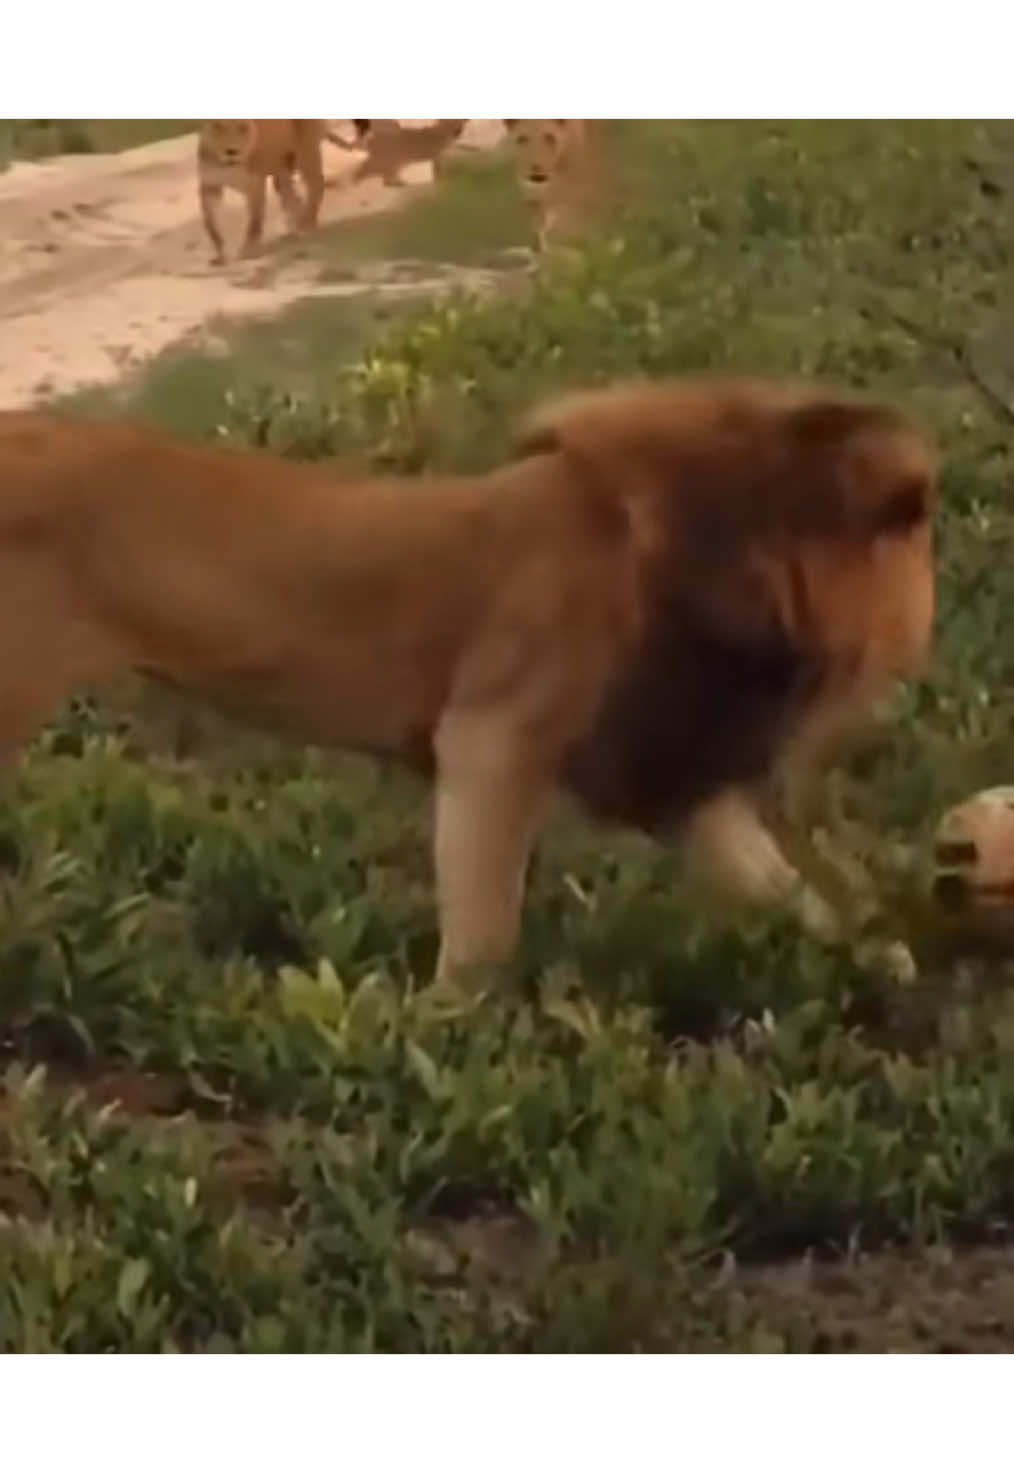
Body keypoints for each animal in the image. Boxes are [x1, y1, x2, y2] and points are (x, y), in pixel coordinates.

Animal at [0, 374, 937, 983]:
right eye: (878, 653)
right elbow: (484, 926)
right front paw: (447, 1037)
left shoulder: (663, 771)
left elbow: (783, 882)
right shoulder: (497, 736)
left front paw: (887, 957)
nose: (873, 708)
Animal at [197, 119, 324, 266]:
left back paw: (307, 224)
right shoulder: (209, 187)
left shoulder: (255, 185)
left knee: (316, 184)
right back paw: (295, 224)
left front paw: (249, 249)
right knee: (292, 196)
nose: (231, 151)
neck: (227, 166)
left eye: (243, 128)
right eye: (217, 126)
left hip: (305, 152)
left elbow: (254, 222)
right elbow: (210, 224)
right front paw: (221, 254)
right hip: (281, 170)